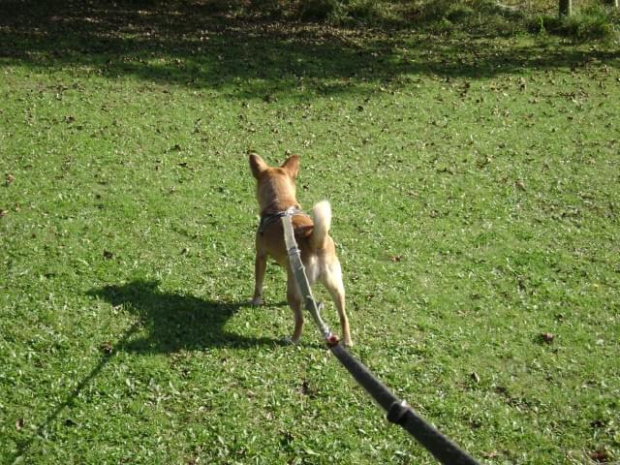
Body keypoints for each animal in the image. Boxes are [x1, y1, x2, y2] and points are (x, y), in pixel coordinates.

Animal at [248, 152, 354, 344]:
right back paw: (347, 341)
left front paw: (255, 300)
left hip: (293, 288)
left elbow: (258, 283)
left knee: (300, 319)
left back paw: (293, 339)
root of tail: (314, 241)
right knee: (343, 316)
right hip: (335, 286)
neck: (281, 205)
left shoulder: (261, 256)